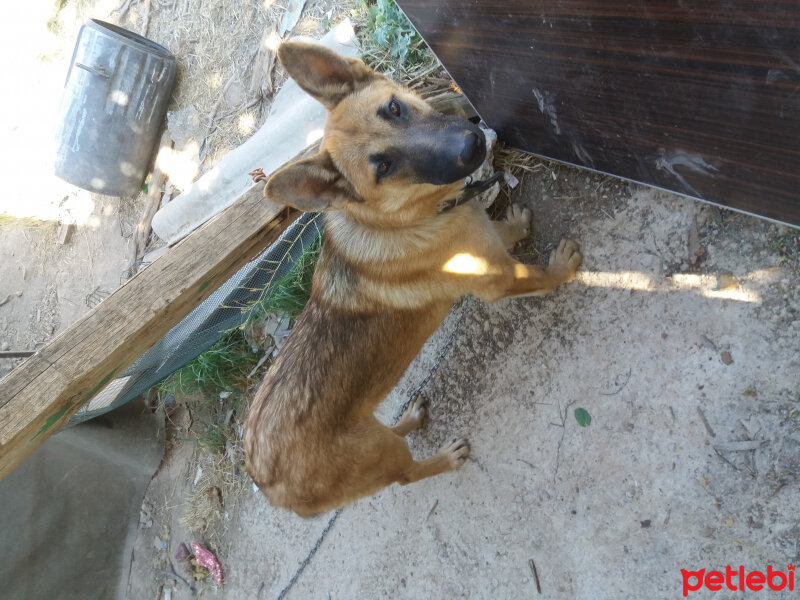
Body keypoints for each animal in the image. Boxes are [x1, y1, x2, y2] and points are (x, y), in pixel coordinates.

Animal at [244, 42, 580, 516]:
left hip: (374, 434)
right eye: (383, 167)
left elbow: (500, 233)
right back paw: (444, 459)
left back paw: (410, 418)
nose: (472, 142)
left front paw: (513, 226)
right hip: (380, 456)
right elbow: (536, 274)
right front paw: (561, 268)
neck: (407, 220)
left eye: (395, 107)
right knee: (405, 475)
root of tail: (264, 480)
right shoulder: (498, 281)